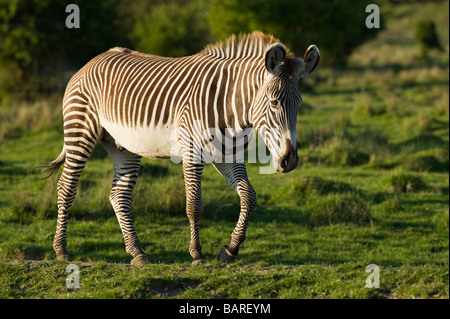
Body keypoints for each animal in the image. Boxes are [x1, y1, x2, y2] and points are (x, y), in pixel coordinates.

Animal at [43, 32, 320, 266]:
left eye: (299, 104)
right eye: (274, 103)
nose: (289, 161)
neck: (231, 109)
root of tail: (91, 61)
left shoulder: (229, 157)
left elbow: (249, 197)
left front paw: (230, 249)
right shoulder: (191, 153)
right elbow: (194, 204)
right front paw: (197, 254)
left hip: (123, 146)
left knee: (118, 195)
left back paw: (137, 252)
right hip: (81, 132)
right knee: (66, 188)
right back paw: (61, 250)